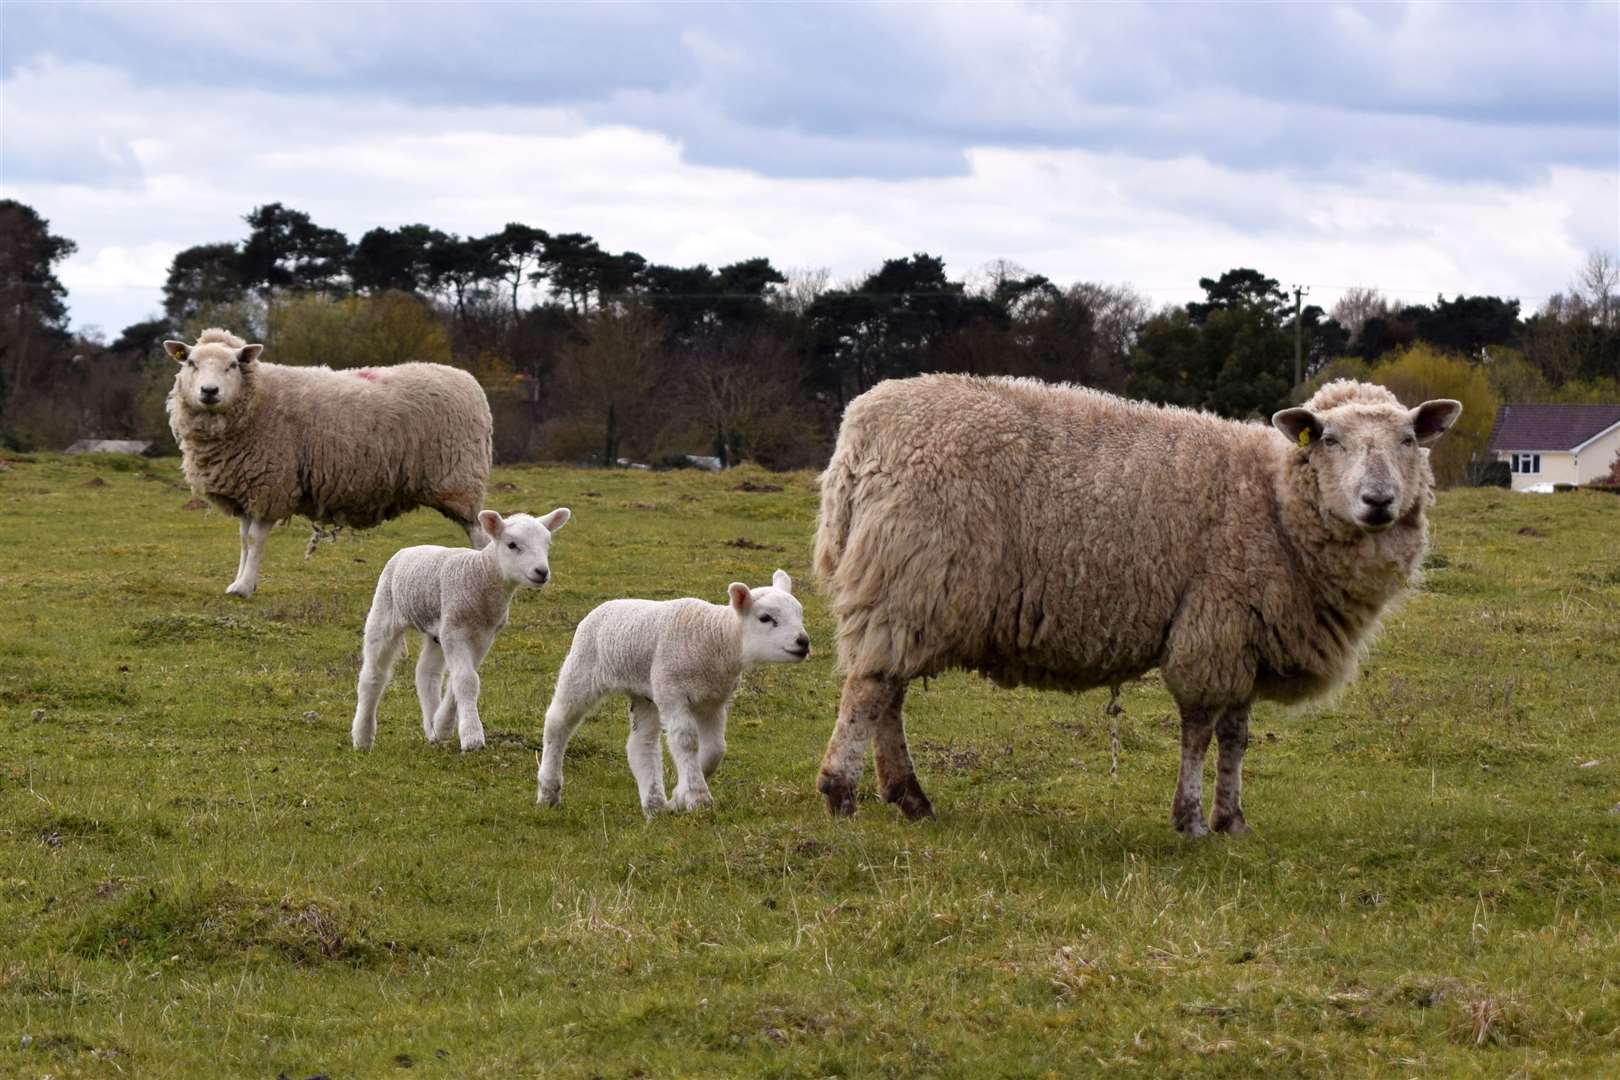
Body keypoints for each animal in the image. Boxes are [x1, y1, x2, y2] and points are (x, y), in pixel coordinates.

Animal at [165, 330, 495, 599]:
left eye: (232, 365)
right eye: (191, 362)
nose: (209, 391)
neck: (258, 400)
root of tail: (468, 381)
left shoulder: (271, 484)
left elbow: (256, 540)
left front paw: (244, 588)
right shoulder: (248, 488)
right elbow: (245, 541)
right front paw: (240, 582)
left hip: (460, 480)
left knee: (480, 537)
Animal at [351, 511, 573, 757]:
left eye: (547, 544)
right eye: (512, 545)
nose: (542, 572)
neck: (480, 576)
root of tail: (408, 549)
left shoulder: (482, 636)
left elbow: (460, 680)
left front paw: (442, 726)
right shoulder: (455, 631)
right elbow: (467, 680)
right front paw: (472, 737)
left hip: (437, 631)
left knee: (426, 673)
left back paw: (432, 728)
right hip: (385, 610)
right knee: (373, 676)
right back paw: (362, 737)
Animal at [537, 569, 810, 816]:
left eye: (800, 613)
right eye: (765, 618)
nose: (803, 642)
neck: (716, 639)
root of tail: (604, 606)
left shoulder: (713, 701)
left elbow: (715, 749)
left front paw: (679, 795)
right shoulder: (673, 693)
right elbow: (687, 741)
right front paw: (698, 798)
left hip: (646, 692)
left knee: (641, 744)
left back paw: (655, 806)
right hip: (583, 670)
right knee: (558, 722)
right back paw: (548, 792)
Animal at [816, 375, 1464, 841]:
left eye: (1409, 440)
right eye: (1330, 440)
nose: (1378, 501)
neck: (1272, 497)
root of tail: (861, 431)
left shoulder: (1246, 637)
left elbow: (1236, 736)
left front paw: (1233, 821)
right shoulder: (1215, 624)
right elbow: (1199, 731)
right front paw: (1192, 821)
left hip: (909, 593)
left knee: (887, 692)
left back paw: (909, 798)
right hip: (910, 579)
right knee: (869, 691)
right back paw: (841, 793)